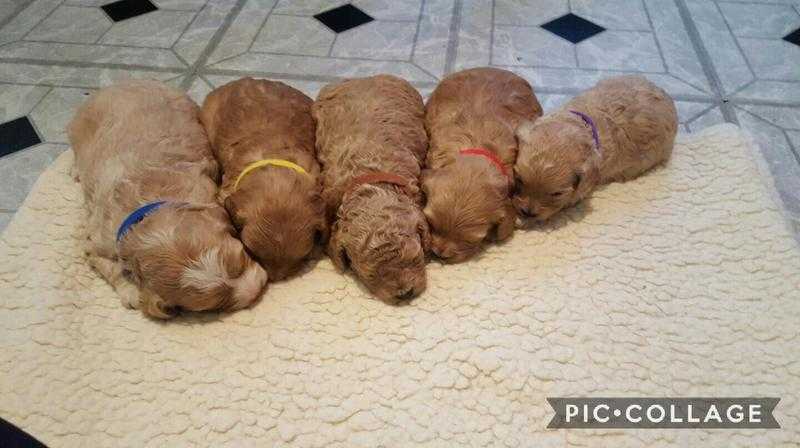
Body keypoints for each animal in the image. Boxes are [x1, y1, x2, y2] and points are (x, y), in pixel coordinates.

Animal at [67, 80, 268, 318]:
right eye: (216, 305)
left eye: (240, 258)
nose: (258, 290)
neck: (148, 209)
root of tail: (120, 83)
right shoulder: (95, 239)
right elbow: (111, 267)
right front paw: (131, 292)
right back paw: (75, 170)